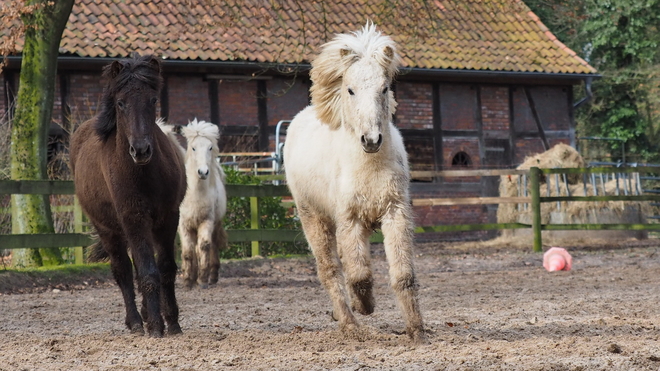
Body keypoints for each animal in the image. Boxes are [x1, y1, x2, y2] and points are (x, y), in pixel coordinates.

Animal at [70, 54, 186, 338]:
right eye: (120, 103)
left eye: (153, 100)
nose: (141, 150)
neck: (144, 173)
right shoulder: (134, 218)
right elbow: (146, 272)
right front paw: (155, 326)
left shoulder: (168, 217)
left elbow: (166, 268)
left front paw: (172, 322)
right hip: (108, 229)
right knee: (122, 270)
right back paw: (135, 321)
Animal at [158, 117, 228, 290]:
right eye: (193, 148)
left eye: (210, 147)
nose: (203, 172)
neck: (195, 193)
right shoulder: (183, 224)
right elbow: (188, 251)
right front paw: (188, 280)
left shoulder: (206, 221)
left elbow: (204, 246)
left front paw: (202, 280)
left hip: (214, 223)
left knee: (212, 244)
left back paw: (212, 276)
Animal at [282, 22, 426, 342]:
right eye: (350, 89)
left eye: (384, 88)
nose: (371, 140)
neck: (369, 169)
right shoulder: (350, 219)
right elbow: (359, 275)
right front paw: (365, 306)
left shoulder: (395, 212)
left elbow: (403, 275)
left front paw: (417, 330)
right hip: (314, 217)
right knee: (330, 270)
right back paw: (349, 323)